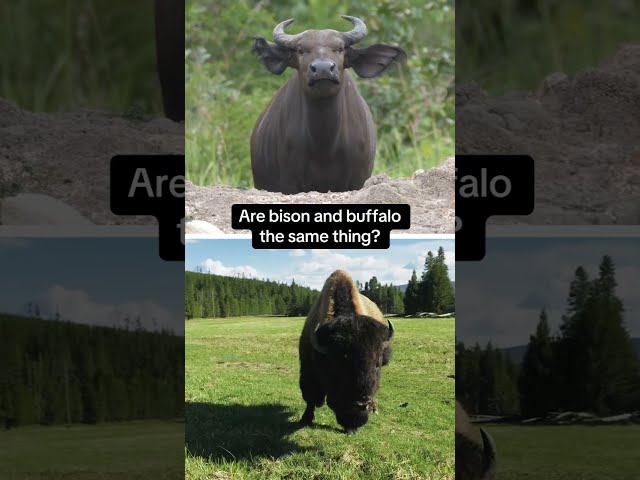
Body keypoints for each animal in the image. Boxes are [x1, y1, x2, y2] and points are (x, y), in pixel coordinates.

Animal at [251, 16, 407, 194]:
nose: (323, 69)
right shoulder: (289, 183)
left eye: (340, 48)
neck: (324, 142)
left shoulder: (357, 180)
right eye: (301, 50)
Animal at [298, 270, 394, 434]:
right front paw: (305, 419)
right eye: (339, 367)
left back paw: (375, 408)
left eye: (376, 365)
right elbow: (311, 397)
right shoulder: (309, 369)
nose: (361, 404)